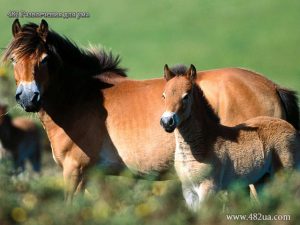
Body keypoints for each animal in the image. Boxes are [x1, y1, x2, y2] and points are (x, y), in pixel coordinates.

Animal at [161, 64, 300, 211]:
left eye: (186, 96)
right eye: (164, 95)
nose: (167, 121)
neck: (205, 142)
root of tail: (292, 128)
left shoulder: (209, 188)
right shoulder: (189, 191)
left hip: (285, 177)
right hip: (262, 180)